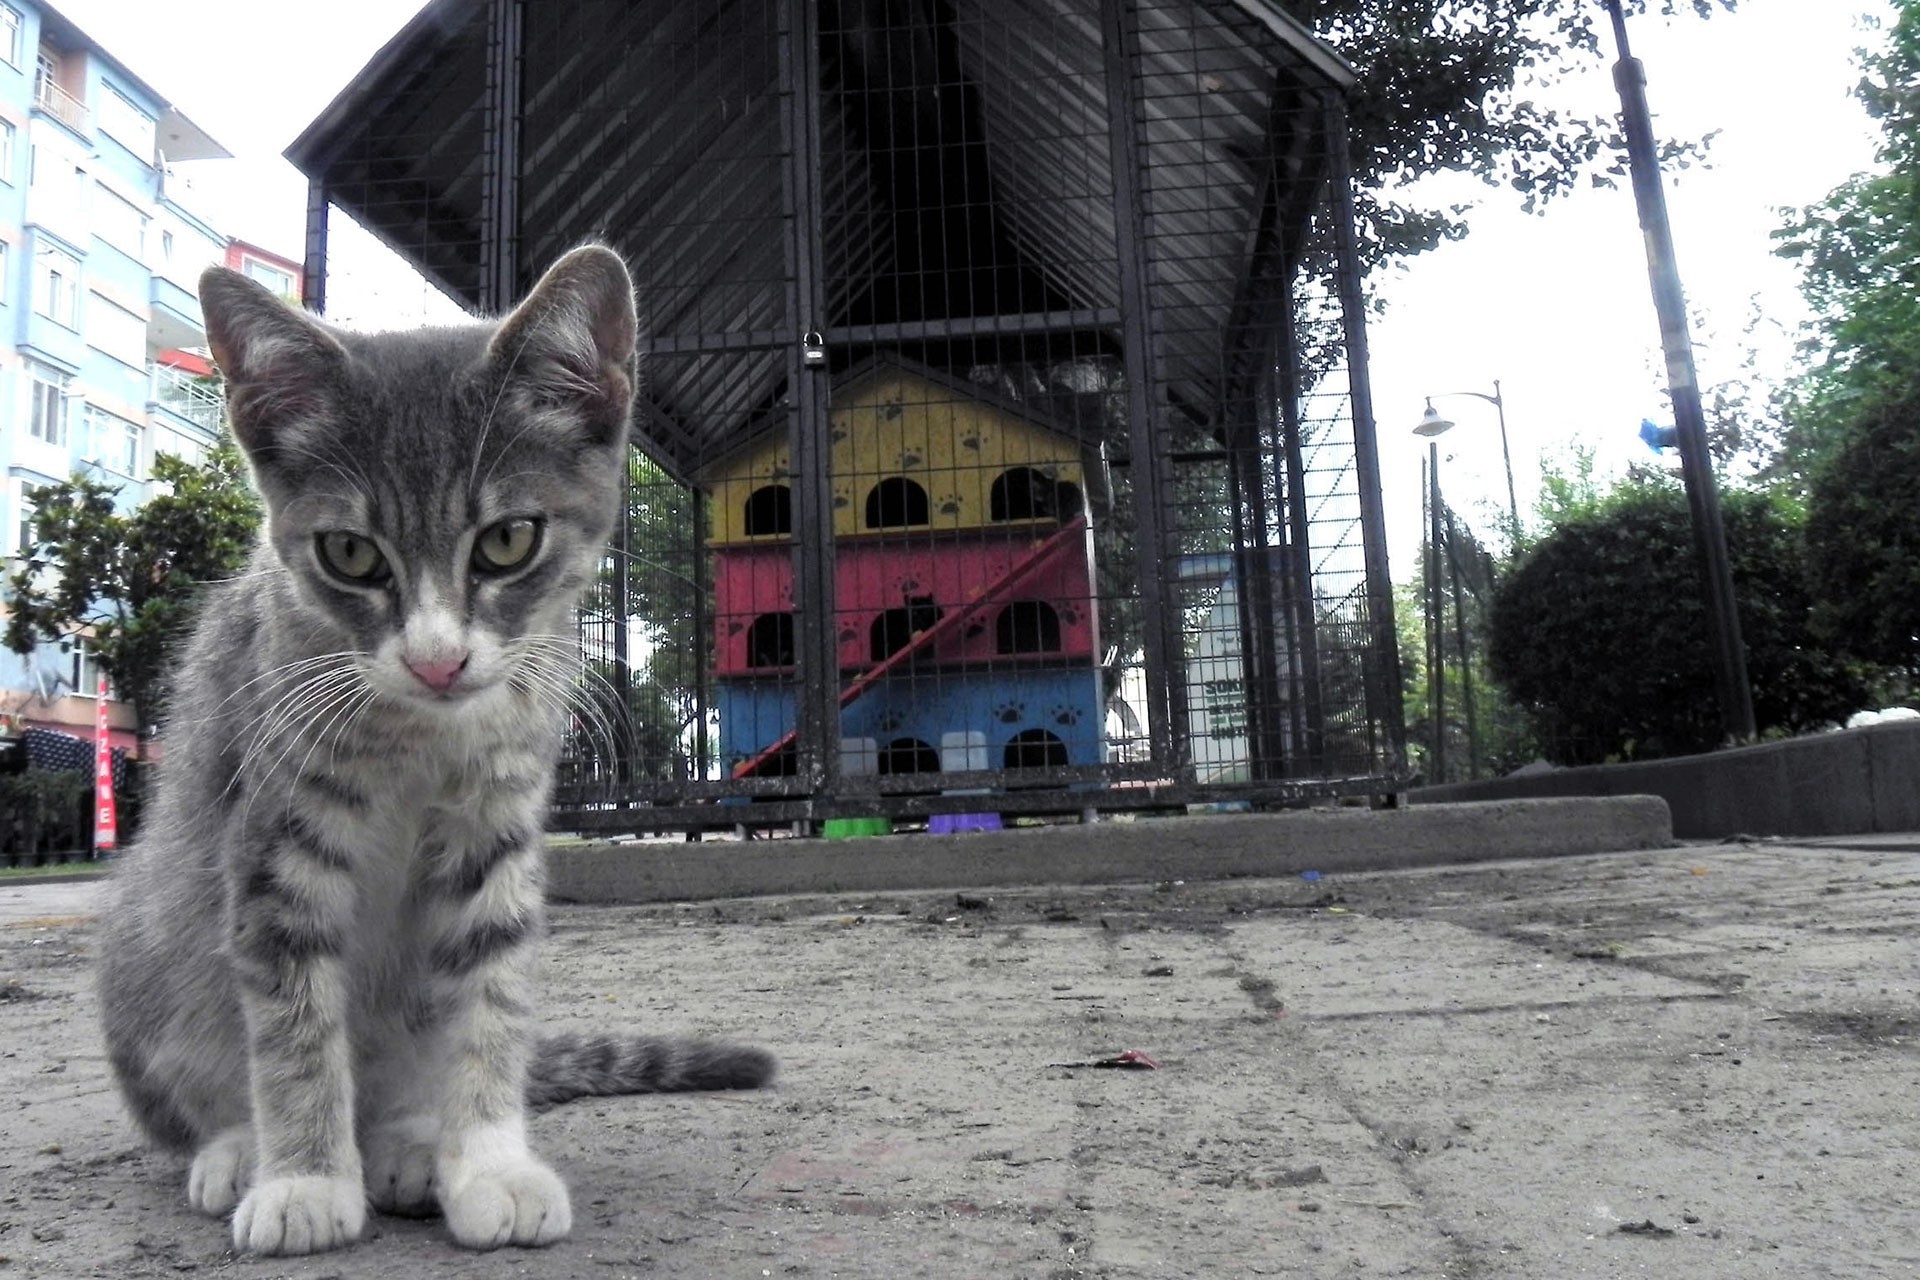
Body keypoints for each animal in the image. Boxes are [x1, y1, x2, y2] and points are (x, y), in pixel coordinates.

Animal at [97, 245, 771, 1258]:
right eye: (349, 553)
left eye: (507, 539)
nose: (437, 658)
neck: (421, 734)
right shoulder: (275, 832)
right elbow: (291, 1017)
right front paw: (302, 1178)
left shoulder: (497, 823)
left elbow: (488, 1001)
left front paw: (486, 1163)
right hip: (149, 939)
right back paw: (235, 1149)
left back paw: (410, 1143)